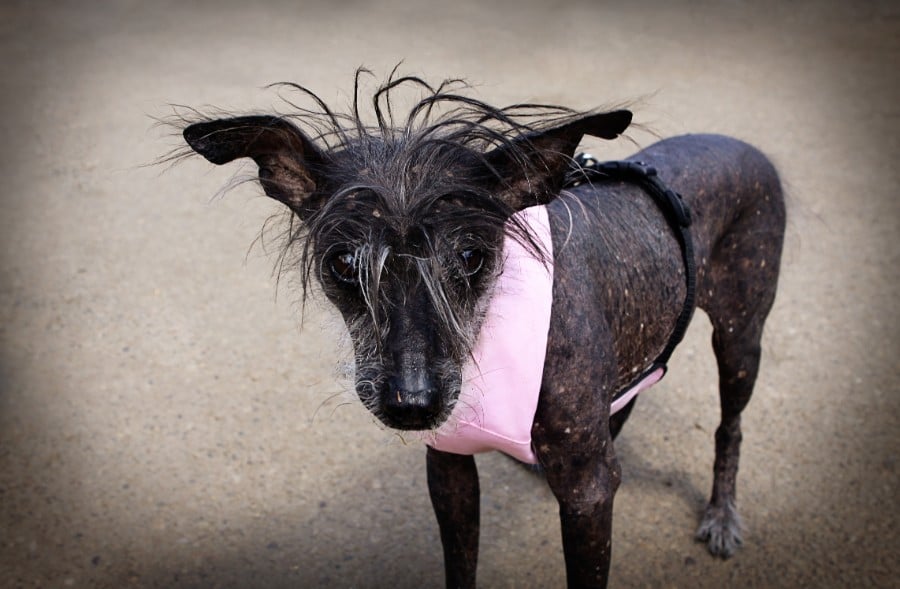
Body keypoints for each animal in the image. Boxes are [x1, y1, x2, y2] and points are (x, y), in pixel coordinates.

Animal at [176, 74, 780, 588]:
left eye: (471, 256)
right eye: (344, 263)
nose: (412, 404)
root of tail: (743, 145)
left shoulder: (588, 498)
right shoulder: (448, 467)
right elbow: (460, 566)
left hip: (740, 338)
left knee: (731, 424)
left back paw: (722, 514)